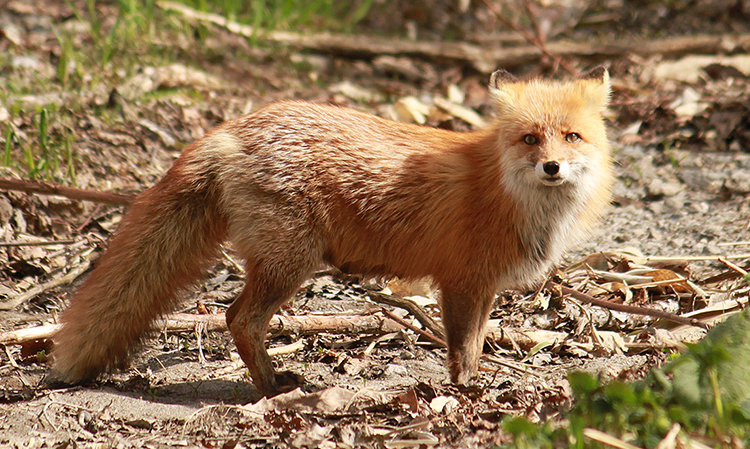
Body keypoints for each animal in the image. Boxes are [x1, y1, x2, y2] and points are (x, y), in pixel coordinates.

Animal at [53, 66, 616, 396]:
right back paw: (273, 386)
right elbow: (462, 350)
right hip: (290, 264)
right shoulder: (460, 282)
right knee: (238, 318)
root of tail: (231, 129)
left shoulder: (482, 287)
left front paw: (473, 387)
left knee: (236, 317)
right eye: (530, 139)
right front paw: (464, 394)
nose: (552, 167)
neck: (508, 195)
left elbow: (475, 345)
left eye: (571, 137)